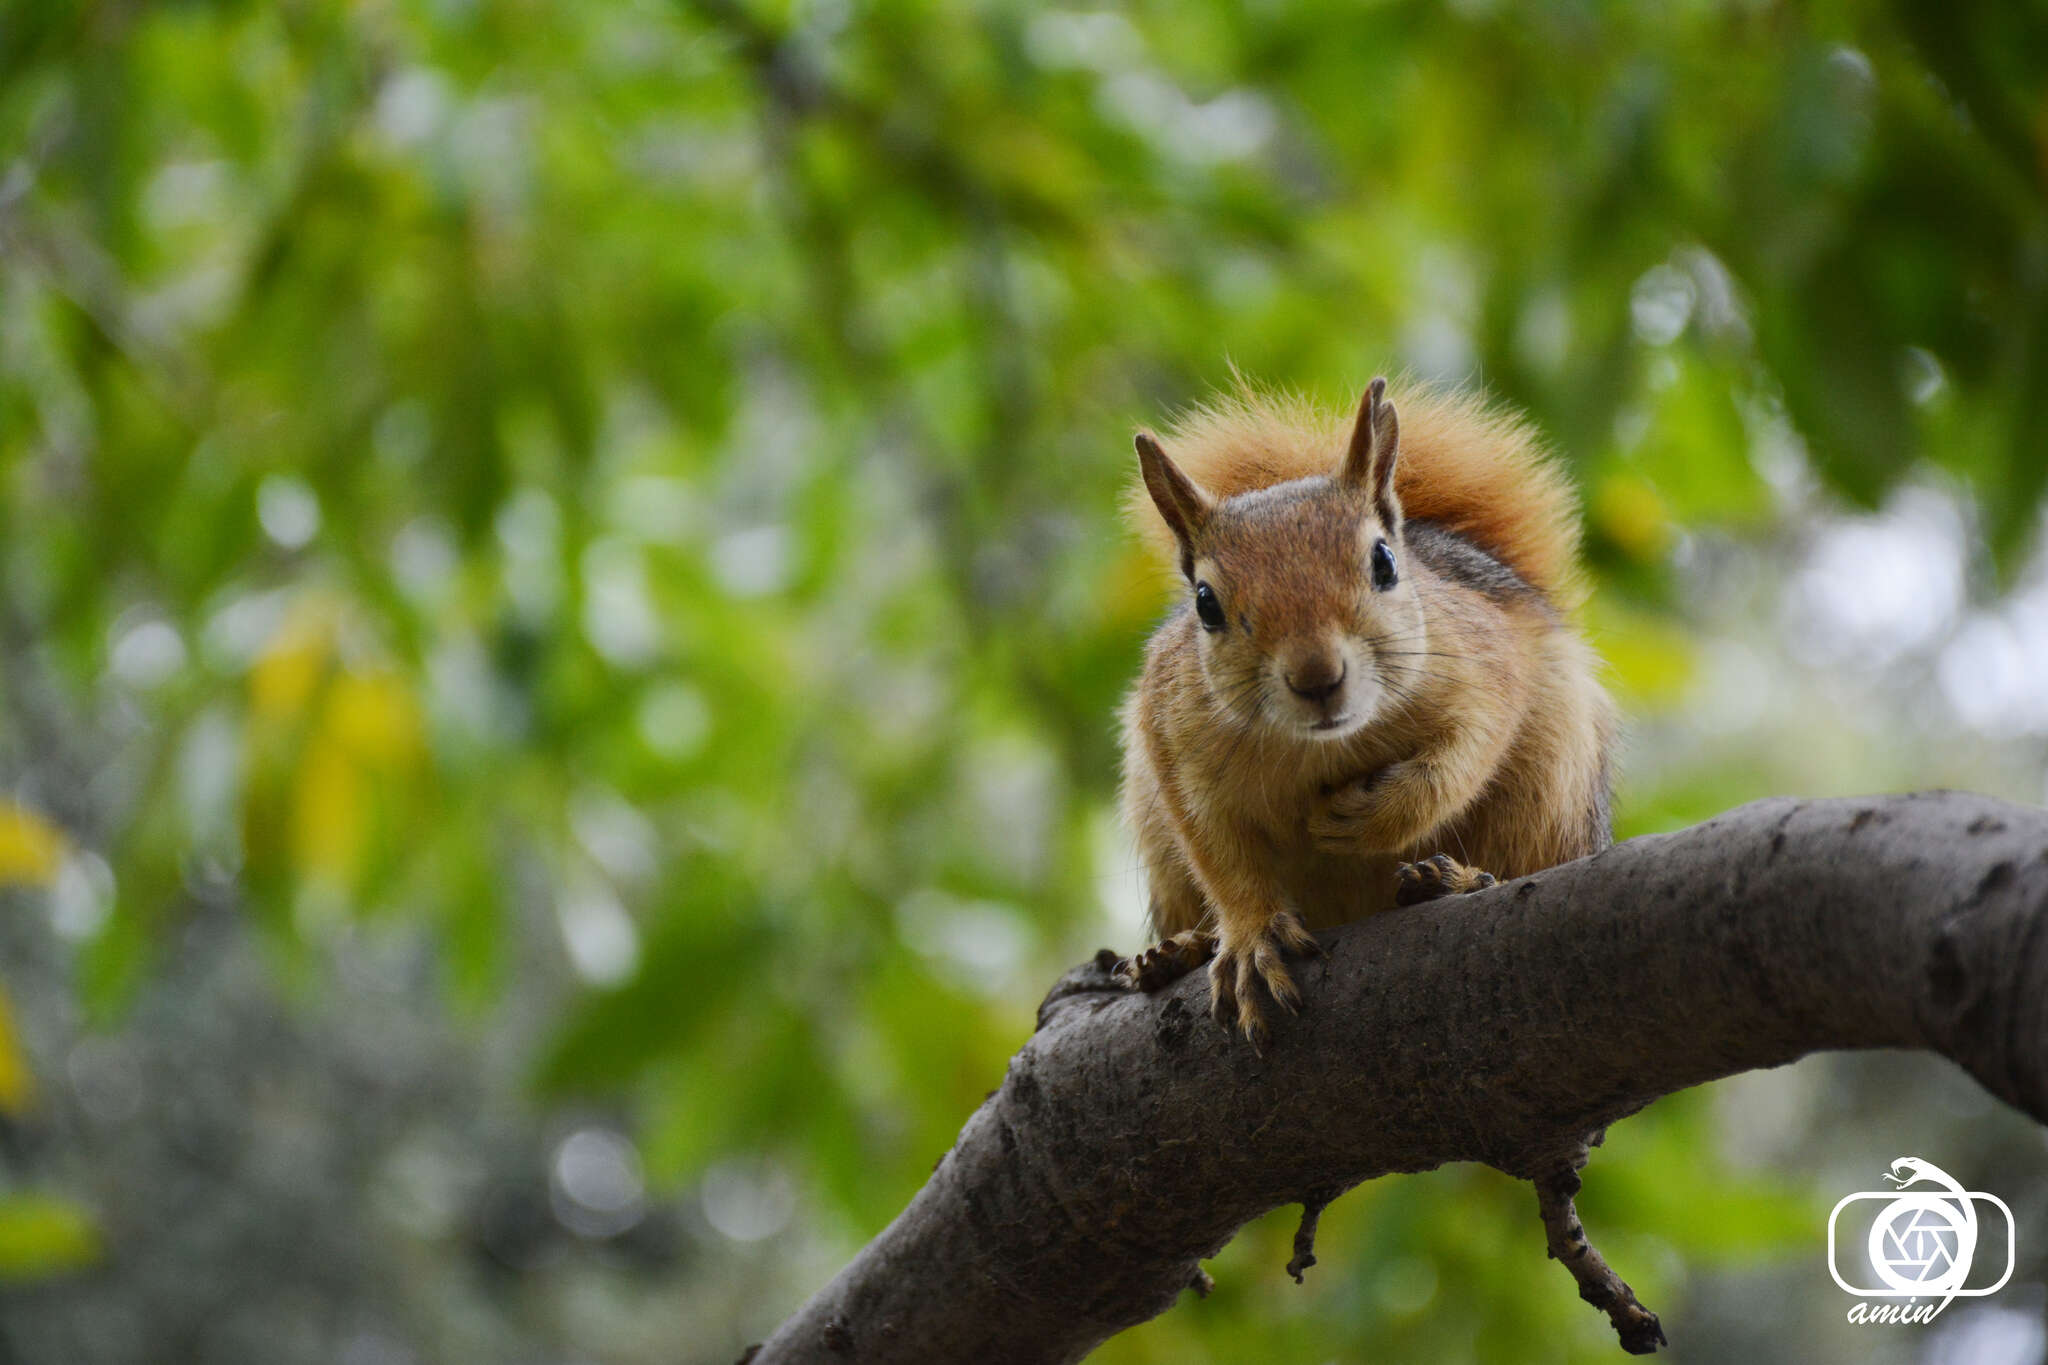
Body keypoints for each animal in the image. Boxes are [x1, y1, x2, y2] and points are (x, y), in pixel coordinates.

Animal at [1122, 376, 1613, 1047]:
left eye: (1384, 562)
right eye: (1205, 603)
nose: (1317, 678)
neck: (1325, 746)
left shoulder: (1488, 663)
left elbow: (1459, 761)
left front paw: (1363, 819)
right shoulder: (1169, 732)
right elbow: (1217, 854)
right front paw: (1252, 938)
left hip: (1551, 795)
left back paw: (1453, 880)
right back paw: (1175, 953)